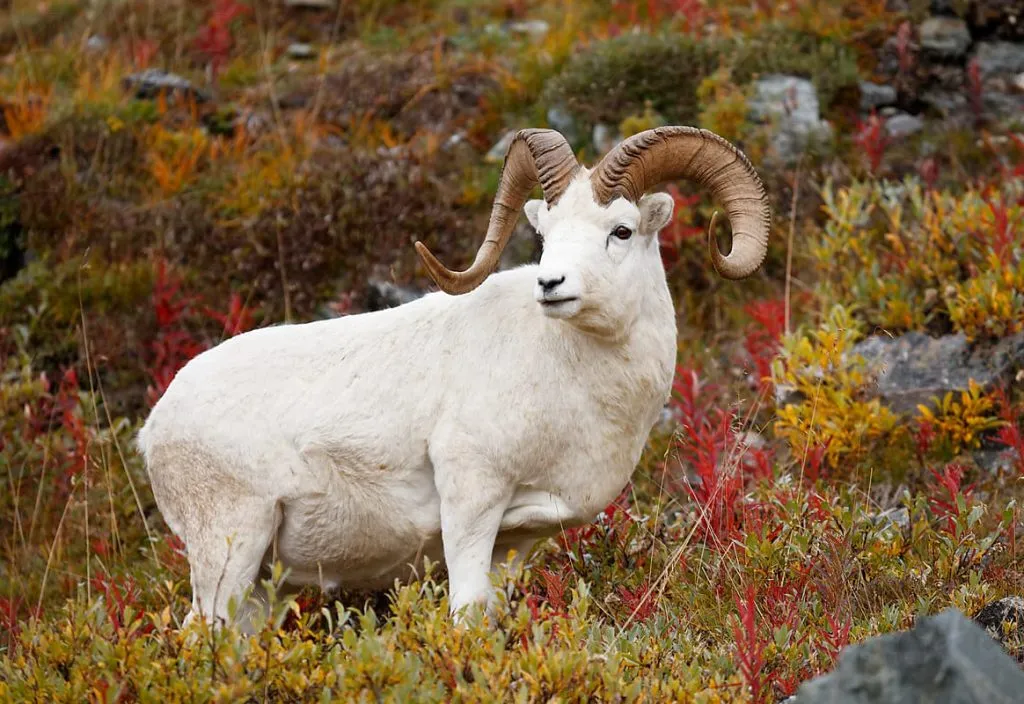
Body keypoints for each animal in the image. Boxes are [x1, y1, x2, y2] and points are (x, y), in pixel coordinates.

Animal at [137, 126, 771, 629]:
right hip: (229, 551)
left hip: (261, 584)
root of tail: (155, 429)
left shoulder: (516, 542)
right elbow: (467, 615)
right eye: (546, 233)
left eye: (620, 230)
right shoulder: (470, 504)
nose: (551, 285)